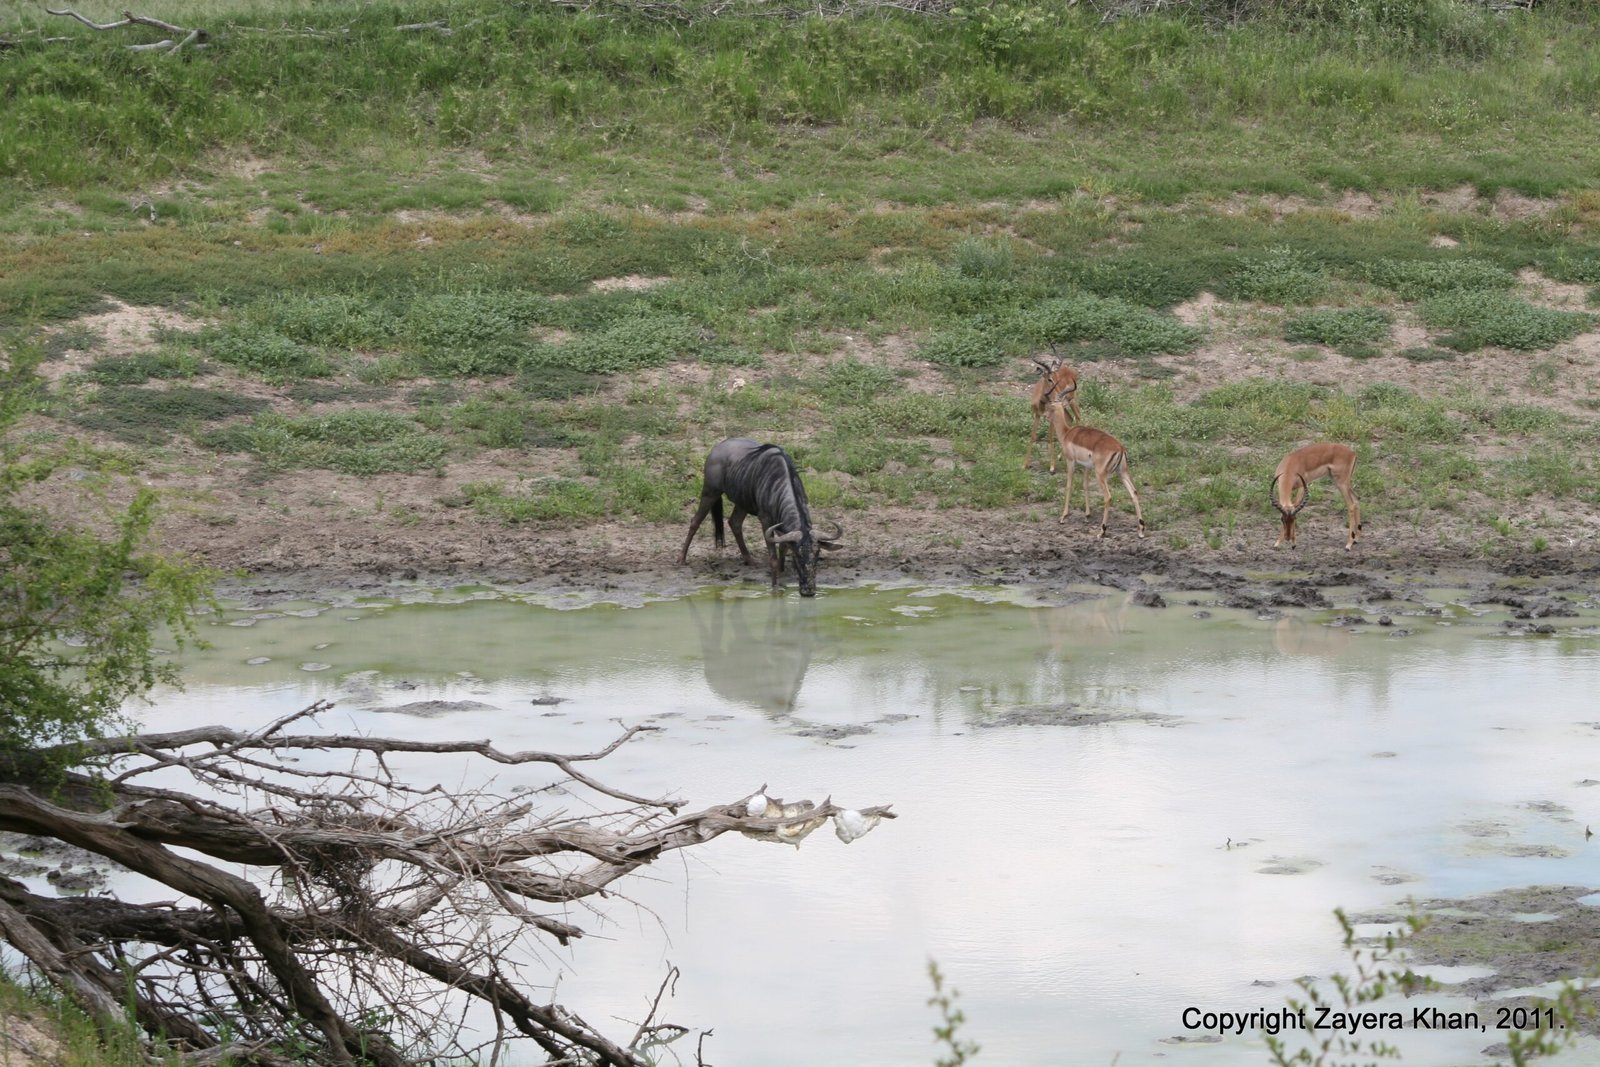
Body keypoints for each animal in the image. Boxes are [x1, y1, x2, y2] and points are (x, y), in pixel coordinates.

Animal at [1047, 403, 1145, 539]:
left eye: (1050, 406)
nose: (1045, 416)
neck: (1067, 433)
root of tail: (1120, 448)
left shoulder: (1070, 462)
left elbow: (1069, 486)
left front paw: (1063, 517)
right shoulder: (1087, 467)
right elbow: (1085, 485)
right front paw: (1087, 515)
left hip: (1101, 475)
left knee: (1108, 497)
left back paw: (1102, 531)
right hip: (1122, 473)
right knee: (1134, 492)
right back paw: (1141, 530)